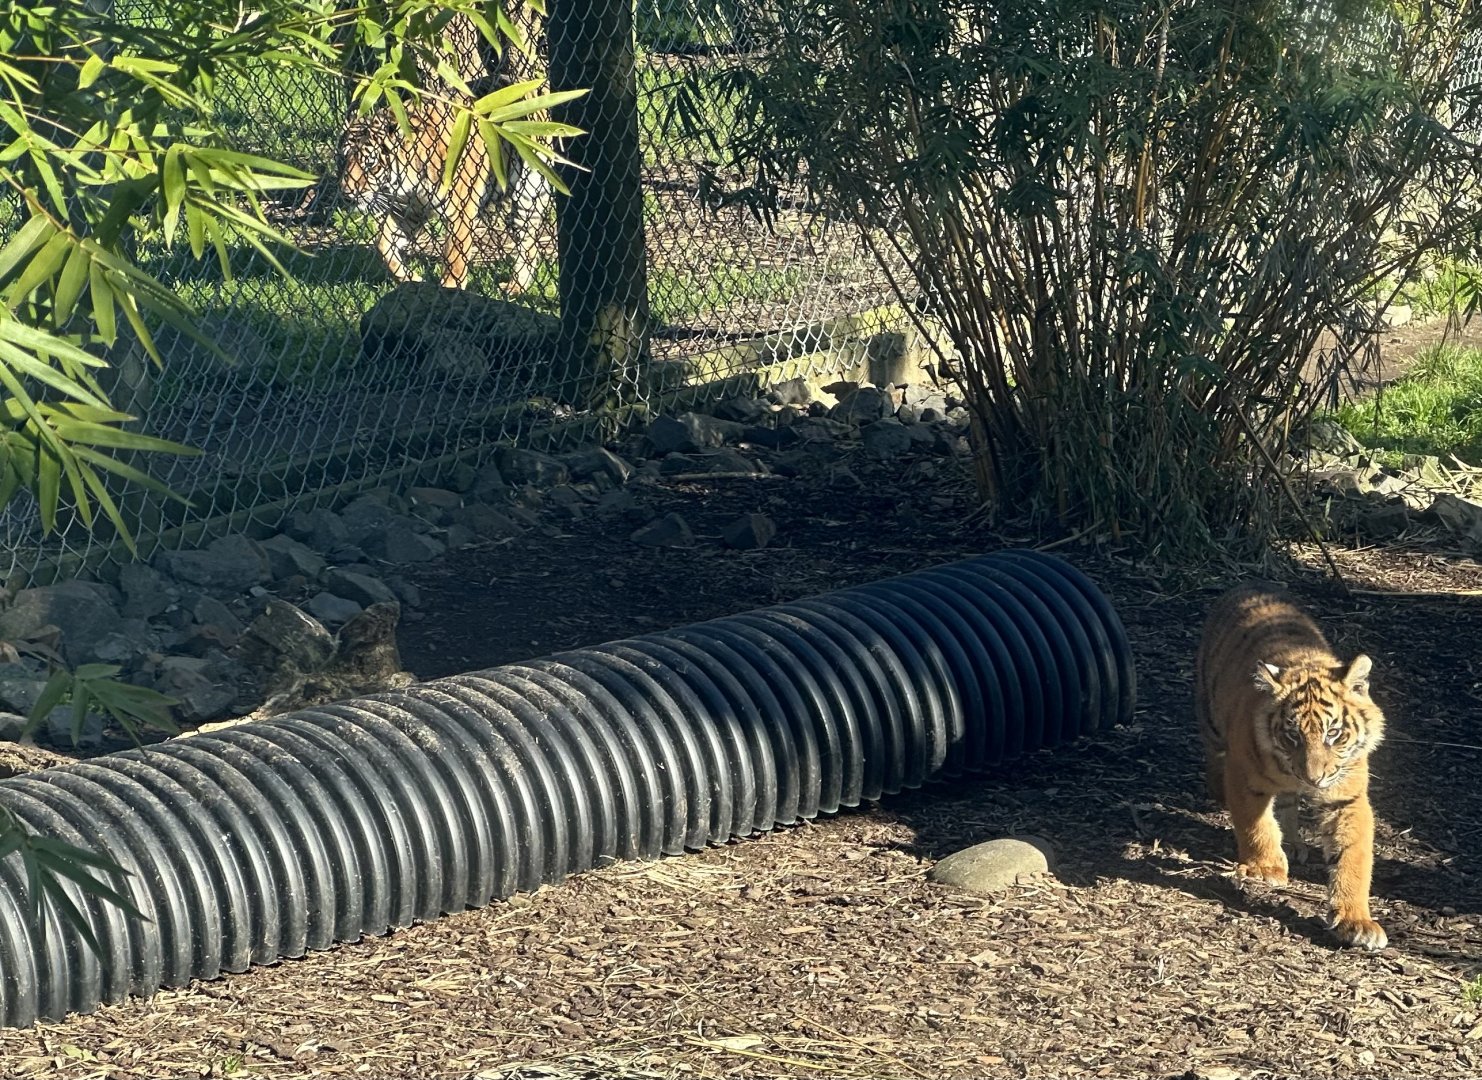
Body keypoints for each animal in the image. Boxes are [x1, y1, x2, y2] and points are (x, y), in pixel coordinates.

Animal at [1193, 583, 1389, 951]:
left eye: (1333, 733)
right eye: (1292, 735)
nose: (1314, 777)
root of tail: (1248, 587)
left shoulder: (1347, 796)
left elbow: (1352, 856)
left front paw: (1357, 921)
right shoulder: (1244, 775)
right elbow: (1255, 825)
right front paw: (1266, 868)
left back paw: (1296, 843)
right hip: (1210, 716)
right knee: (1213, 753)